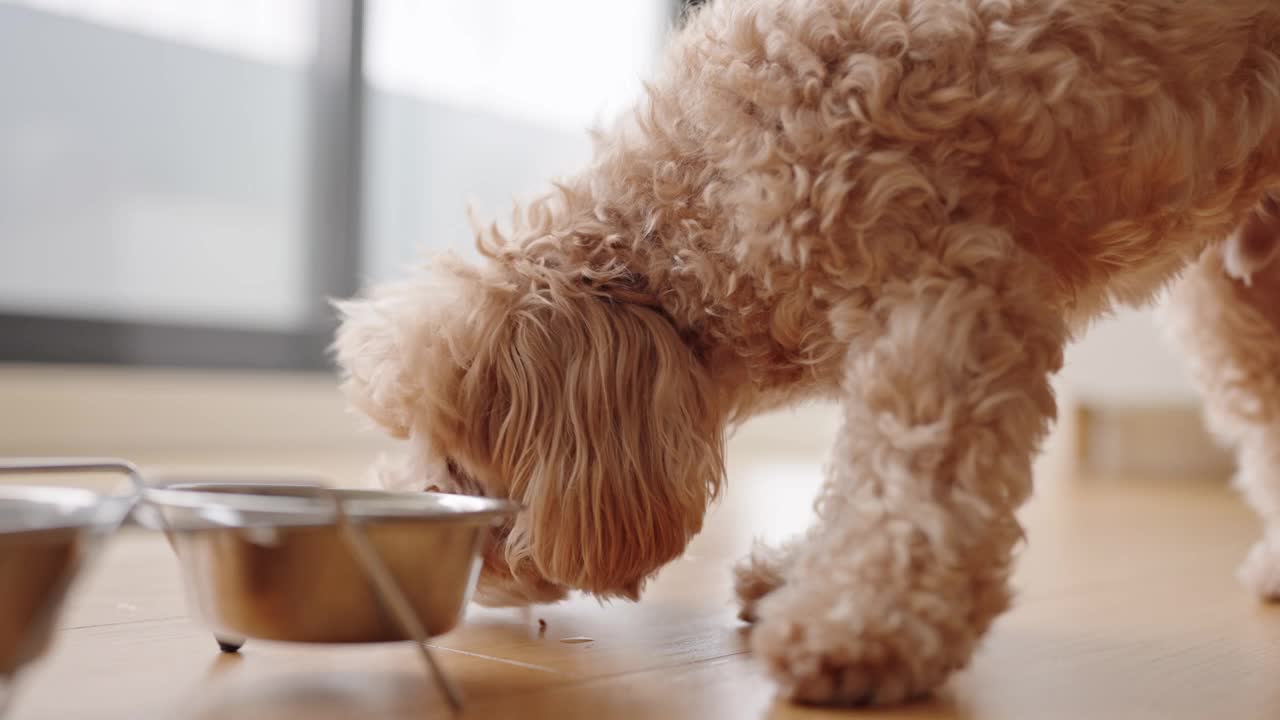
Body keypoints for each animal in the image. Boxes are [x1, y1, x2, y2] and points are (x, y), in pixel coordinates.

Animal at [335, 0, 1280, 707]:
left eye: (455, 453)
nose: (469, 570)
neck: (703, 189)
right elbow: (859, 486)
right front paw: (802, 574)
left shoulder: (948, 304)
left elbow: (909, 488)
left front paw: (859, 627)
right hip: (1242, 288)